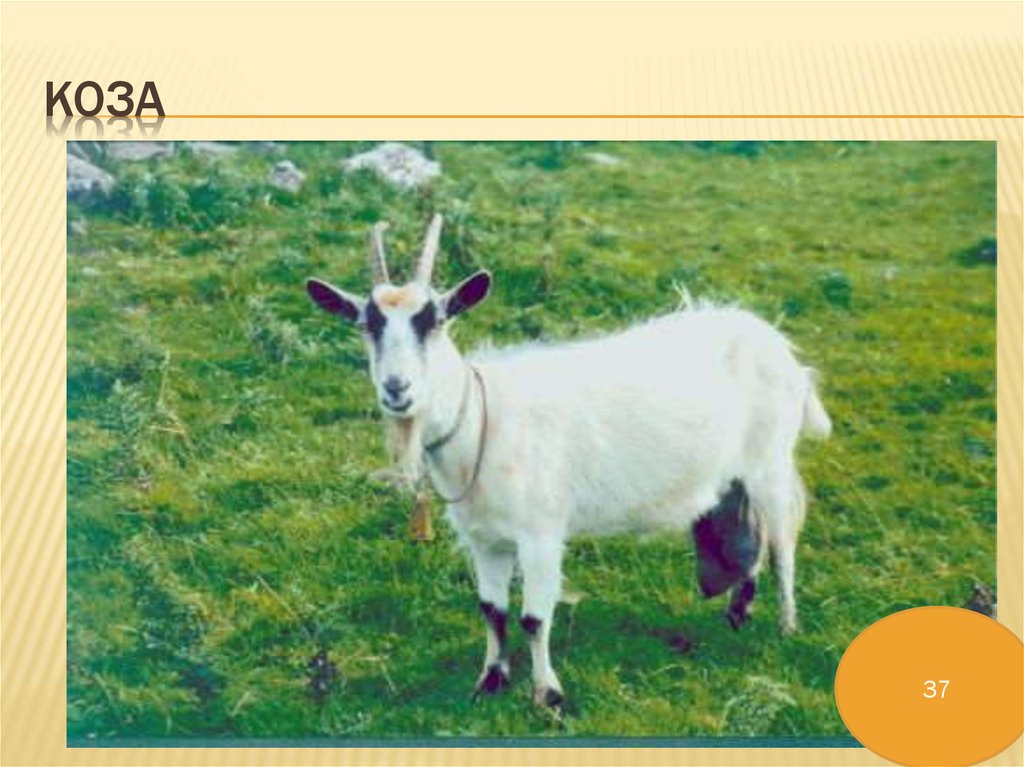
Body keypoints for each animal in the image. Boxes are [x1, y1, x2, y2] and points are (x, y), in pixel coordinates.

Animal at [307, 215, 832, 707]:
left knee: (782, 542)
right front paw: (490, 680)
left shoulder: (540, 534)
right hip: (736, 476)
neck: (481, 420)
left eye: (434, 320)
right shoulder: (484, 540)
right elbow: (492, 611)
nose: (397, 389)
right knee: (751, 531)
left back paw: (786, 626)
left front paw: (548, 695)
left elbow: (534, 618)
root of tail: (776, 343)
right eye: (366, 325)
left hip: (770, 462)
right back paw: (739, 613)